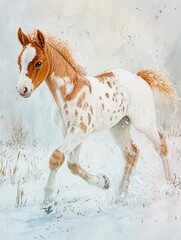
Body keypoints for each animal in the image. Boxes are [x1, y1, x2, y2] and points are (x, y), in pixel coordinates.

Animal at [16, 27, 178, 208]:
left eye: (38, 63)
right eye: (19, 62)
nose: (22, 89)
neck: (69, 92)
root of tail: (139, 77)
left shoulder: (79, 130)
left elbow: (57, 157)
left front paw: (48, 200)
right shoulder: (68, 131)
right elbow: (72, 164)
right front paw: (104, 182)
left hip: (144, 123)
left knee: (161, 143)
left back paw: (170, 184)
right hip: (119, 127)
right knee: (131, 153)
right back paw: (120, 196)